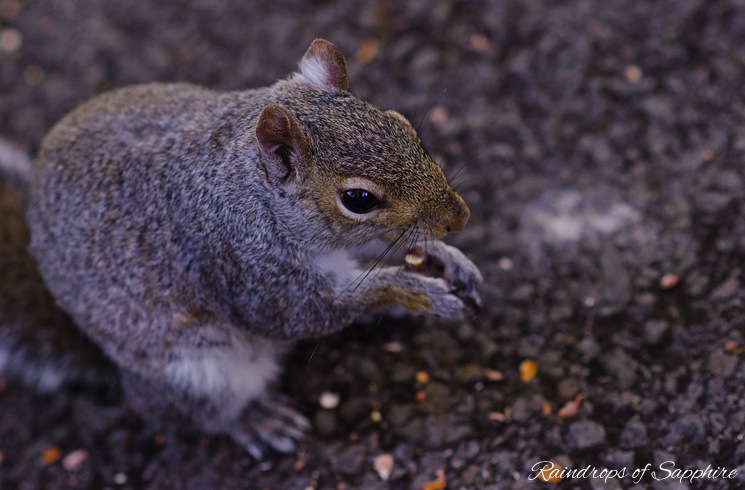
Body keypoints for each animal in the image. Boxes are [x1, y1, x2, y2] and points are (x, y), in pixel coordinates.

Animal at [0, 40, 482, 458]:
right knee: (192, 416)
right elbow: (306, 312)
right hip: (199, 375)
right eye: (359, 199)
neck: (253, 191)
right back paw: (256, 421)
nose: (458, 218)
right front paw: (418, 292)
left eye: (404, 125)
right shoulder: (243, 266)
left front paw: (450, 261)